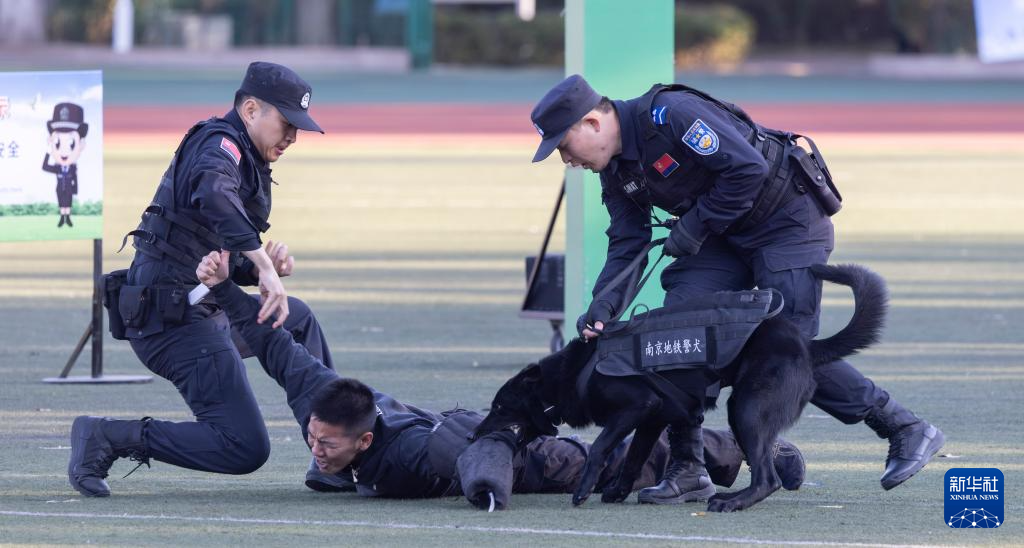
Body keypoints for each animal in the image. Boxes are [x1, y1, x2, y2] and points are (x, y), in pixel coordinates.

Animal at [475, 264, 884, 512]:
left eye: (499, 407)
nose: (475, 435)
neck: (574, 374)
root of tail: (804, 344)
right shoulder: (653, 416)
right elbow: (634, 456)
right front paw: (617, 492)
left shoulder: (635, 407)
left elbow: (602, 447)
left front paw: (584, 490)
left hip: (746, 409)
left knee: (767, 478)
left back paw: (732, 503)